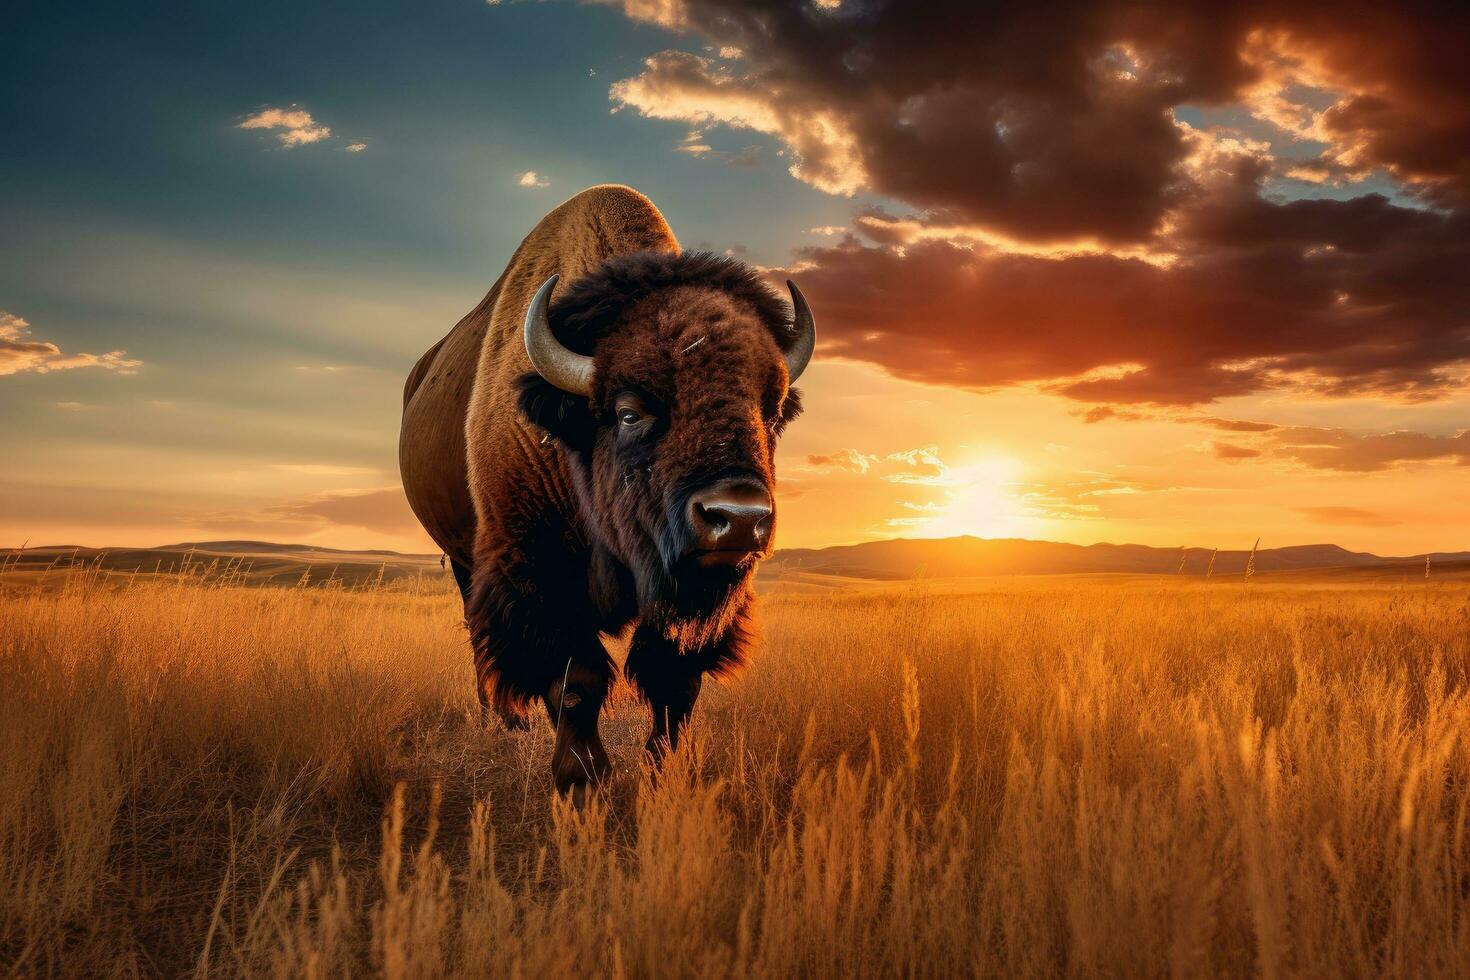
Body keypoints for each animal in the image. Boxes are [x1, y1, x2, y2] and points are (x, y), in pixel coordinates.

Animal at [399, 185, 817, 799]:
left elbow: (672, 676)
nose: (738, 517)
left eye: (771, 412)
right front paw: (582, 781)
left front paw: (665, 775)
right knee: (481, 638)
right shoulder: (540, 574)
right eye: (628, 413)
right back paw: (504, 720)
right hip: (463, 559)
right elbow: (579, 678)